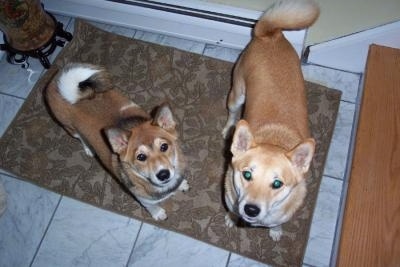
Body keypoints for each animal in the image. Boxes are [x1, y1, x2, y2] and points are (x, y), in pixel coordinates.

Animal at [45, 63, 189, 222]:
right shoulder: (143, 199)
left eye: (164, 146)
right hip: (70, 128)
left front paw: (181, 184)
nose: (163, 174)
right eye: (141, 157)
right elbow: (152, 206)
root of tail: (58, 79)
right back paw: (89, 149)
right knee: (81, 138)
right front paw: (158, 213)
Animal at [222, 0, 318, 243]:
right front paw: (231, 219)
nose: (251, 209)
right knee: (232, 114)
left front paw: (275, 231)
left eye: (277, 184)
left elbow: (277, 223)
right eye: (247, 174)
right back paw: (228, 129)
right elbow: (231, 210)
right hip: (237, 95)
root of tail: (270, 35)